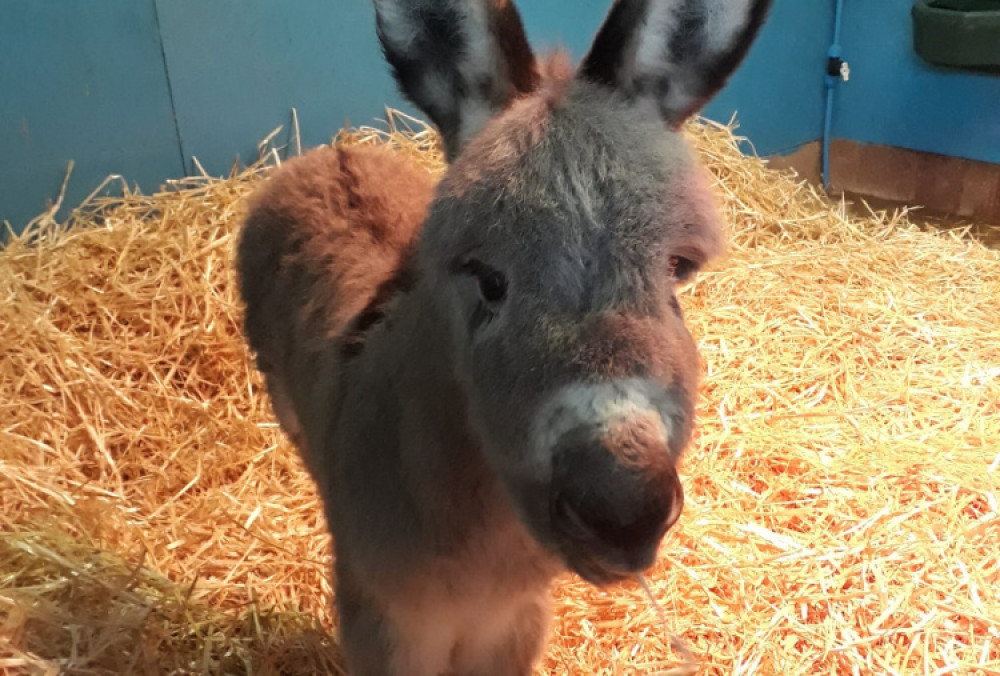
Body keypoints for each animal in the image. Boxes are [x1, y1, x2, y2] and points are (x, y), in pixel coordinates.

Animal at [236, 1, 772, 672]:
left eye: (678, 268)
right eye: (488, 280)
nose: (622, 511)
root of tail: (329, 153)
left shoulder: (515, 623)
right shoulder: (387, 630)